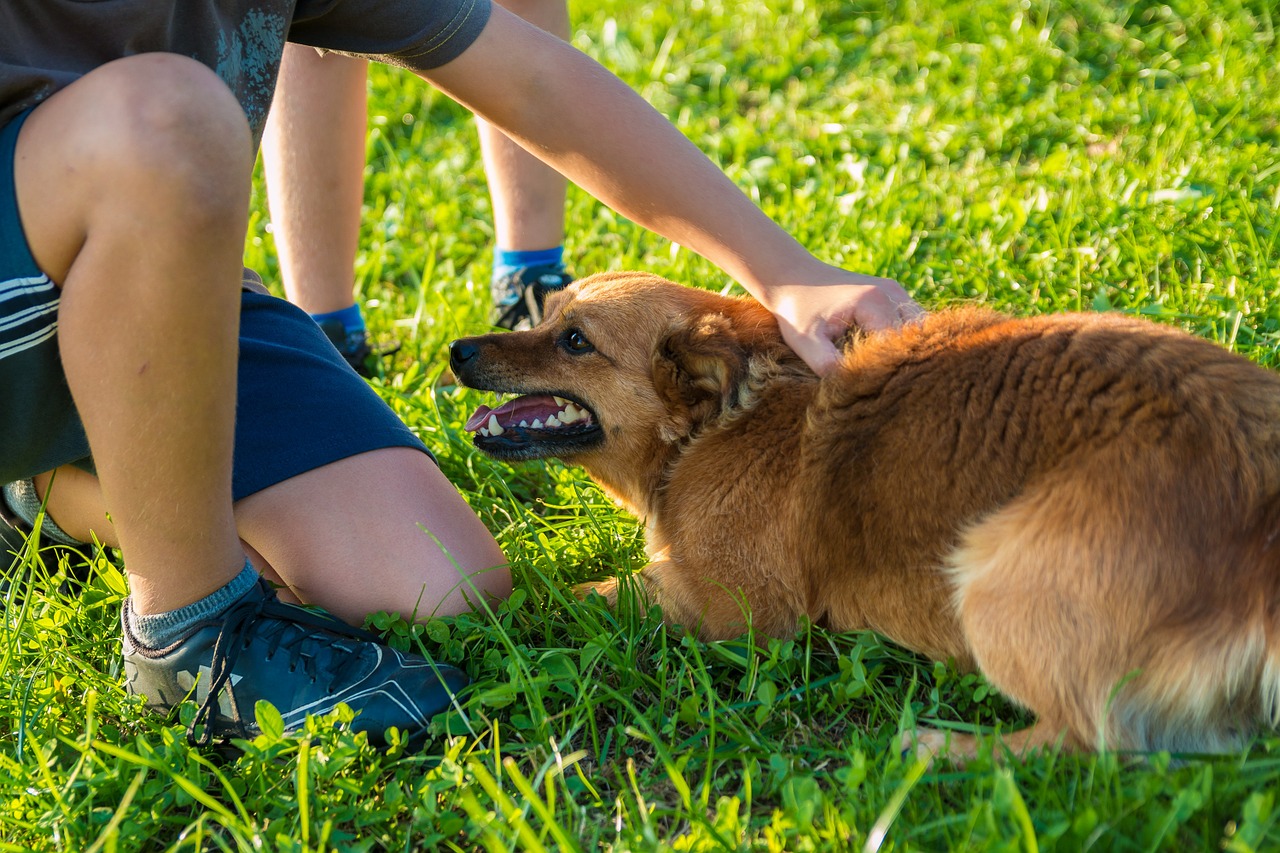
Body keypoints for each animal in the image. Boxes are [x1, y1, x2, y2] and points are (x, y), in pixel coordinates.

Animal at [448, 267, 1280, 758]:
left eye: (574, 340)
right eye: (545, 314)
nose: (455, 350)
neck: (721, 420)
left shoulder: (729, 608)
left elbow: (584, 590)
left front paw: (513, 601)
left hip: (992, 575)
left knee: (1089, 740)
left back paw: (940, 749)